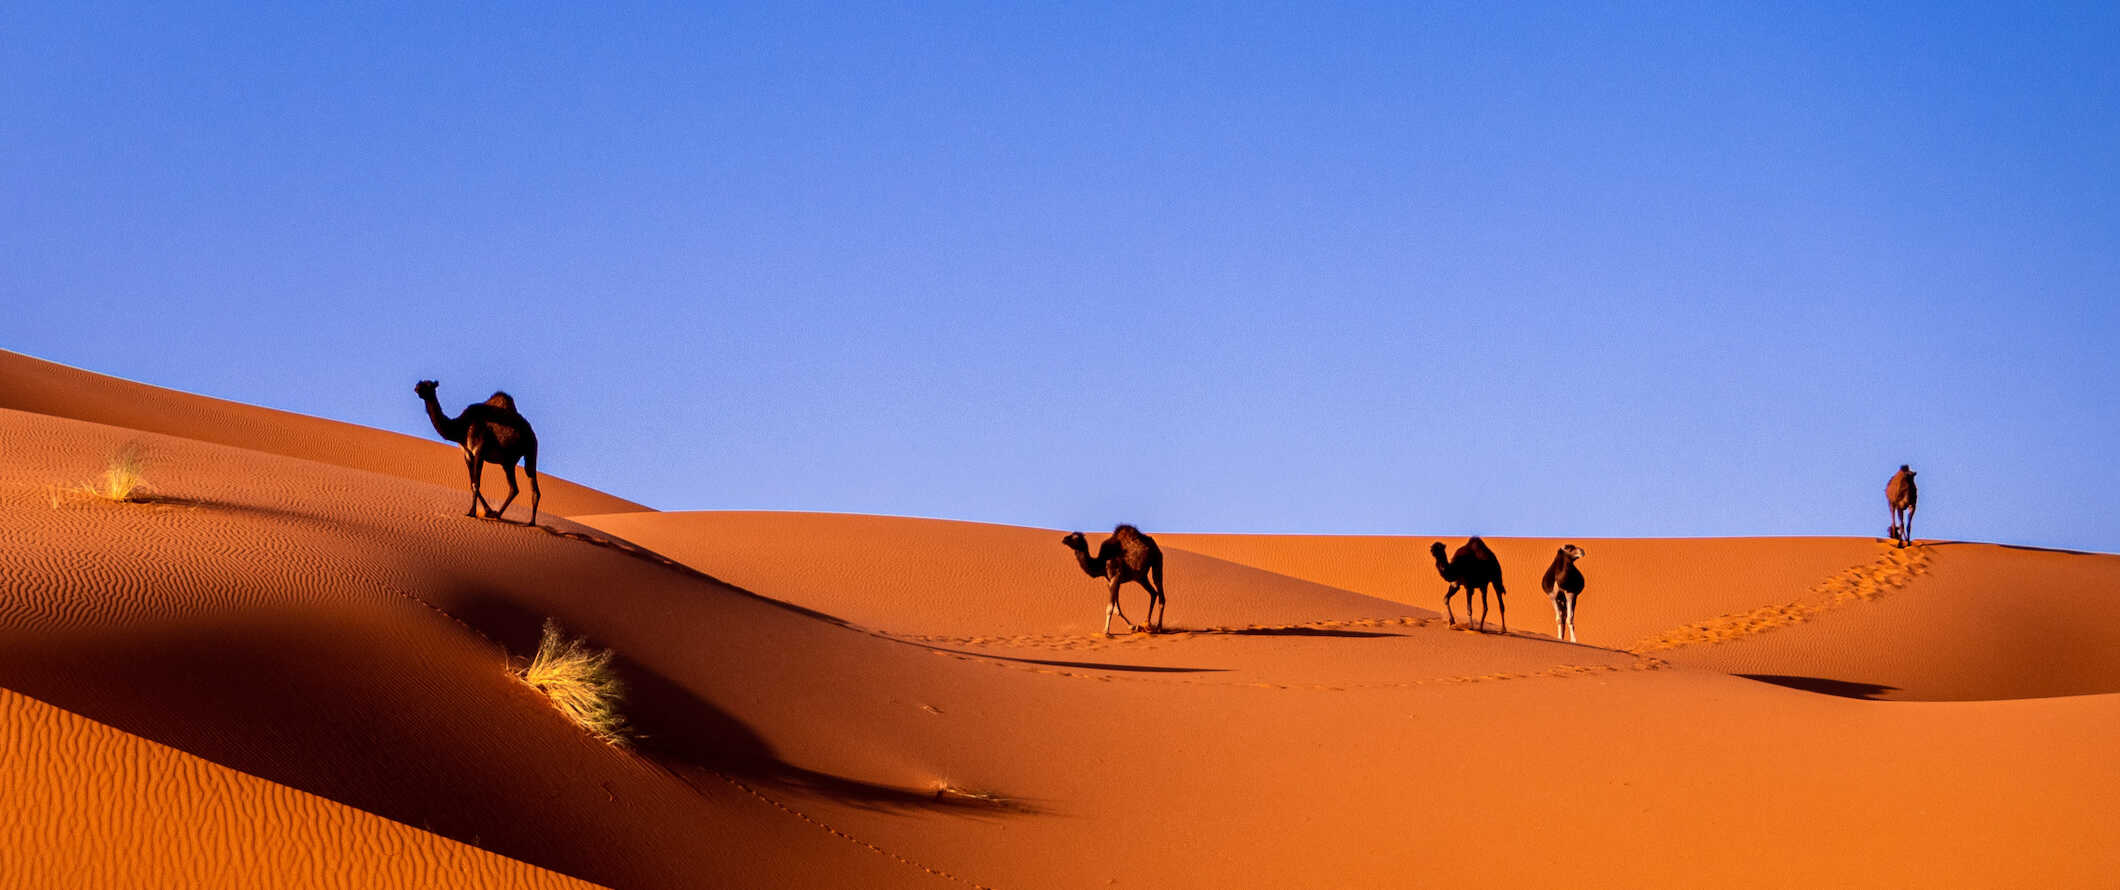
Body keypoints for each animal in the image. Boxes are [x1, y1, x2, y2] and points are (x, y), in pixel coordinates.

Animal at [407, 381, 534, 521]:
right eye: (420, 383)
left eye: (428, 385)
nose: (417, 388)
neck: (461, 428)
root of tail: (531, 431)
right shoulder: (467, 454)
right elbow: (472, 483)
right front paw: (487, 511)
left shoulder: (479, 451)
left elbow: (476, 483)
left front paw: (473, 512)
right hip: (507, 462)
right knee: (515, 488)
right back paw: (501, 515)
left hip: (530, 450)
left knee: (528, 484)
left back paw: (525, 521)